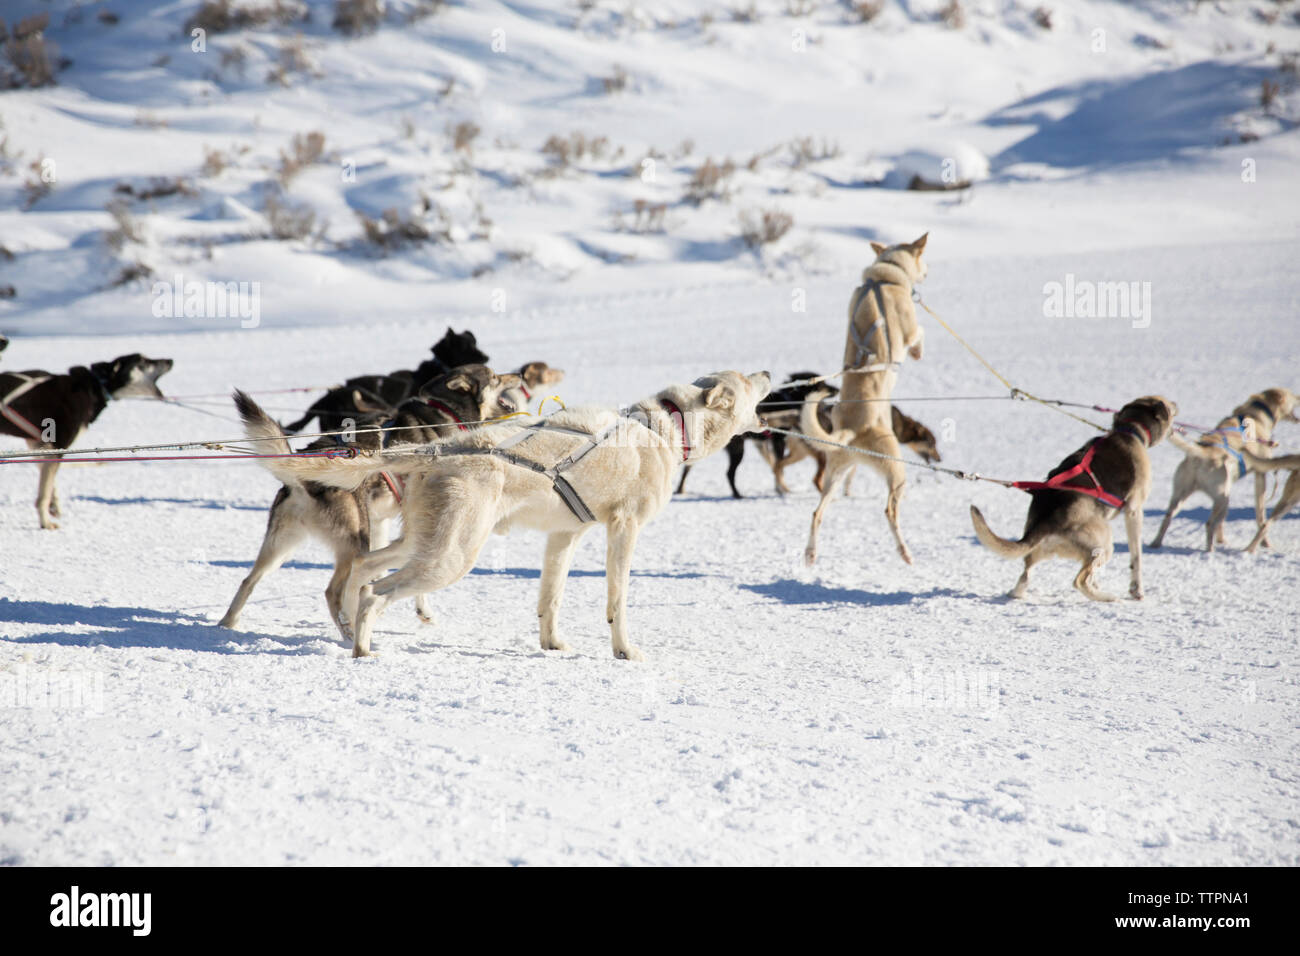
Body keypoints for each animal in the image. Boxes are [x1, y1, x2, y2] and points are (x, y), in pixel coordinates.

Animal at [795, 234, 930, 564]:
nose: (927, 273)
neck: (882, 278)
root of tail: (851, 432)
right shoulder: (910, 330)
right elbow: (919, 333)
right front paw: (920, 349)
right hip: (896, 469)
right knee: (890, 510)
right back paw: (905, 551)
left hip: (835, 474)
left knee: (817, 512)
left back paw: (811, 553)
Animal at [967, 398, 1180, 606]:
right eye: (1168, 406)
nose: (1176, 405)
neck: (1130, 430)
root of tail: (1047, 521)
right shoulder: (1134, 510)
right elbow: (1136, 557)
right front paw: (1137, 590)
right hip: (1104, 544)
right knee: (1079, 581)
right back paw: (1107, 597)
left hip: (1044, 552)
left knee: (1024, 578)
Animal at [1154, 390, 1294, 554]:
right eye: (1294, 396)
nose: (1298, 397)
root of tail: (1202, 453)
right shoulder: (1260, 473)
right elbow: (1261, 515)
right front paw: (1265, 543)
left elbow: (1222, 522)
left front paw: (1222, 540)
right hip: (1222, 498)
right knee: (1209, 524)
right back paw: (1210, 551)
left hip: (1184, 496)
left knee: (1168, 518)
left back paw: (1155, 544)